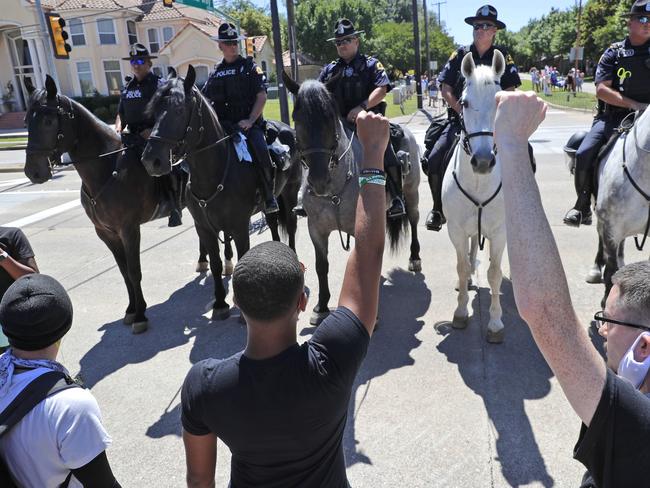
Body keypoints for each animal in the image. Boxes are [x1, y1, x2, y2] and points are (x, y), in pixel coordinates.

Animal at [23, 76, 205, 334]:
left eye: (48, 121)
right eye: (27, 121)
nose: (33, 171)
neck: (107, 168)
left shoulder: (129, 229)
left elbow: (134, 271)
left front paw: (140, 315)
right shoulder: (106, 232)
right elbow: (123, 272)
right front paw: (131, 309)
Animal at [140, 66, 302, 322]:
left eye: (179, 109)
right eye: (155, 111)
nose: (151, 160)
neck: (215, 169)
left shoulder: (239, 225)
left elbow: (243, 255)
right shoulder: (205, 227)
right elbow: (215, 263)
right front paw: (220, 303)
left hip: (290, 194)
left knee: (292, 227)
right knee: (274, 224)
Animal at [284, 76, 420, 326]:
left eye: (329, 117)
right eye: (297, 118)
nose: (319, 180)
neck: (334, 190)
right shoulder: (315, 229)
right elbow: (321, 266)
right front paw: (321, 306)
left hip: (412, 194)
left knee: (414, 220)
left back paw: (415, 257)